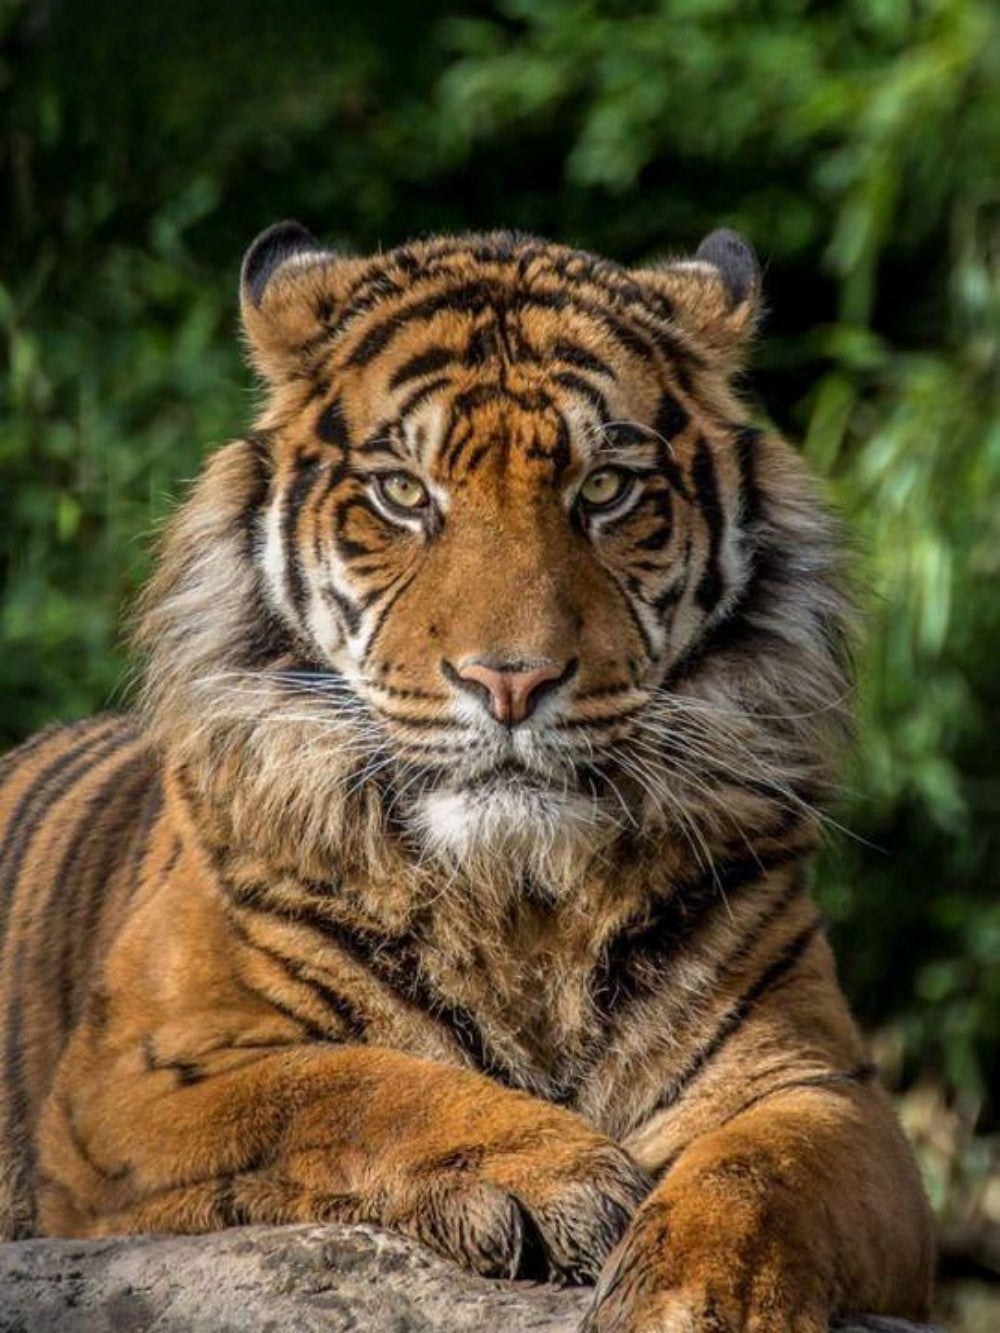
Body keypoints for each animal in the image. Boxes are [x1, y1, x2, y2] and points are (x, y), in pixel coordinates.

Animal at [0, 221, 934, 1331]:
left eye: (604, 489)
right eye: (404, 494)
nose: (510, 680)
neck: (523, 898)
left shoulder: (822, 1084)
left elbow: (759, 1174)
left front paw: (690, 1303)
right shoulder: (127, 1088)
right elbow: (348, 1083)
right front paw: (562, 1175)